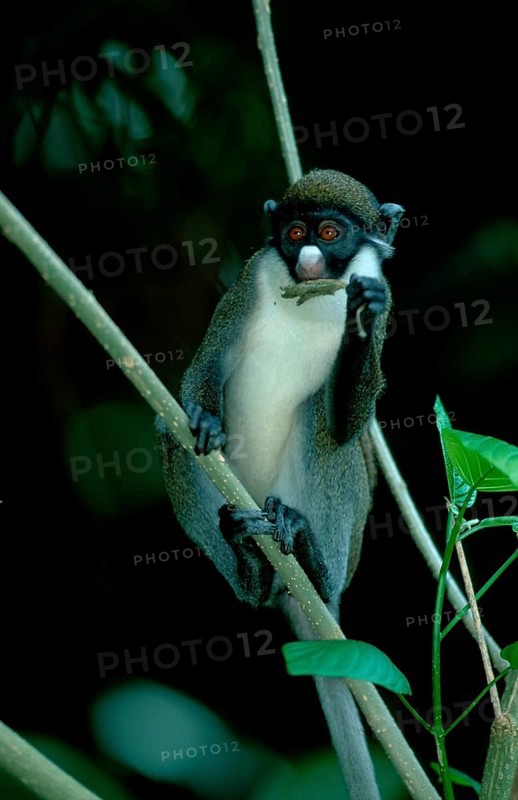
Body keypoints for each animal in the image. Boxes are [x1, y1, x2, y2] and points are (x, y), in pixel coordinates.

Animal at [155, 169, 404, 800]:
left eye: (330, 233)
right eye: (295, 233)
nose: (309, 259)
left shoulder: (385, 296)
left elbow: (346, 423)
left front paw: (362, 320)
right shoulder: (251, 278)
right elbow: (198, 375)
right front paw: (204, 419)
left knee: (325, 424)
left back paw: (312, 559)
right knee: (170, 433)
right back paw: (249, 567)